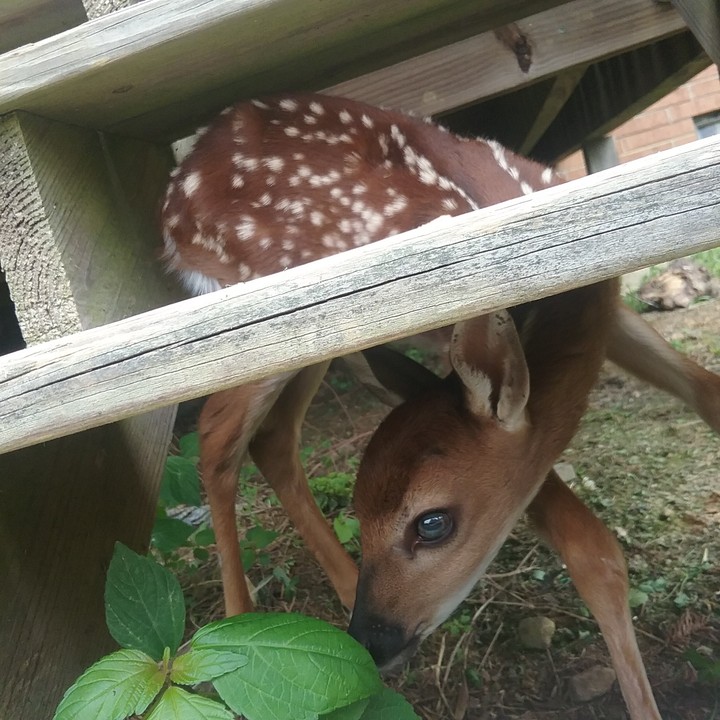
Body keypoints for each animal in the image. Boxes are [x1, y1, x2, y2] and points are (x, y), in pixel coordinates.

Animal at [160, 92, 720, 720]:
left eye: (432, 524)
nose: (374, 640)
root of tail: (175, 195)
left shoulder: (602, 301)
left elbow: (706, 390)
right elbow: (591, 550)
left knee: (271, 437)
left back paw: (339, 594)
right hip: (268, 313)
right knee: (215, 436)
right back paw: (233, 634)